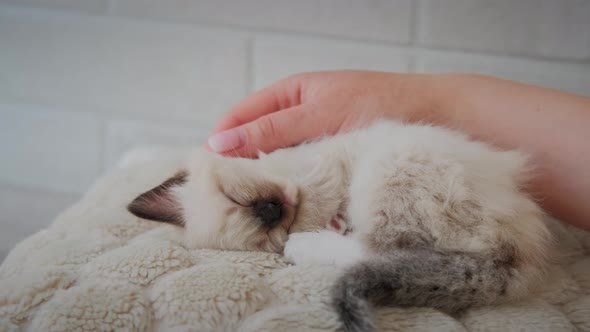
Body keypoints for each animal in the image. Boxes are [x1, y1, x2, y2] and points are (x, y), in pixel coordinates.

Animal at [127, 121, 552, 332]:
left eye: (236, 197)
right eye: (265, 230)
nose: (271, 210)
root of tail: (516, 264)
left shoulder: (323, 167)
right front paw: (315, 225)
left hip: (389, 168)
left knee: (385, 247)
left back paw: (312, 240)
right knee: (385, 249)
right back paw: (311, 240)